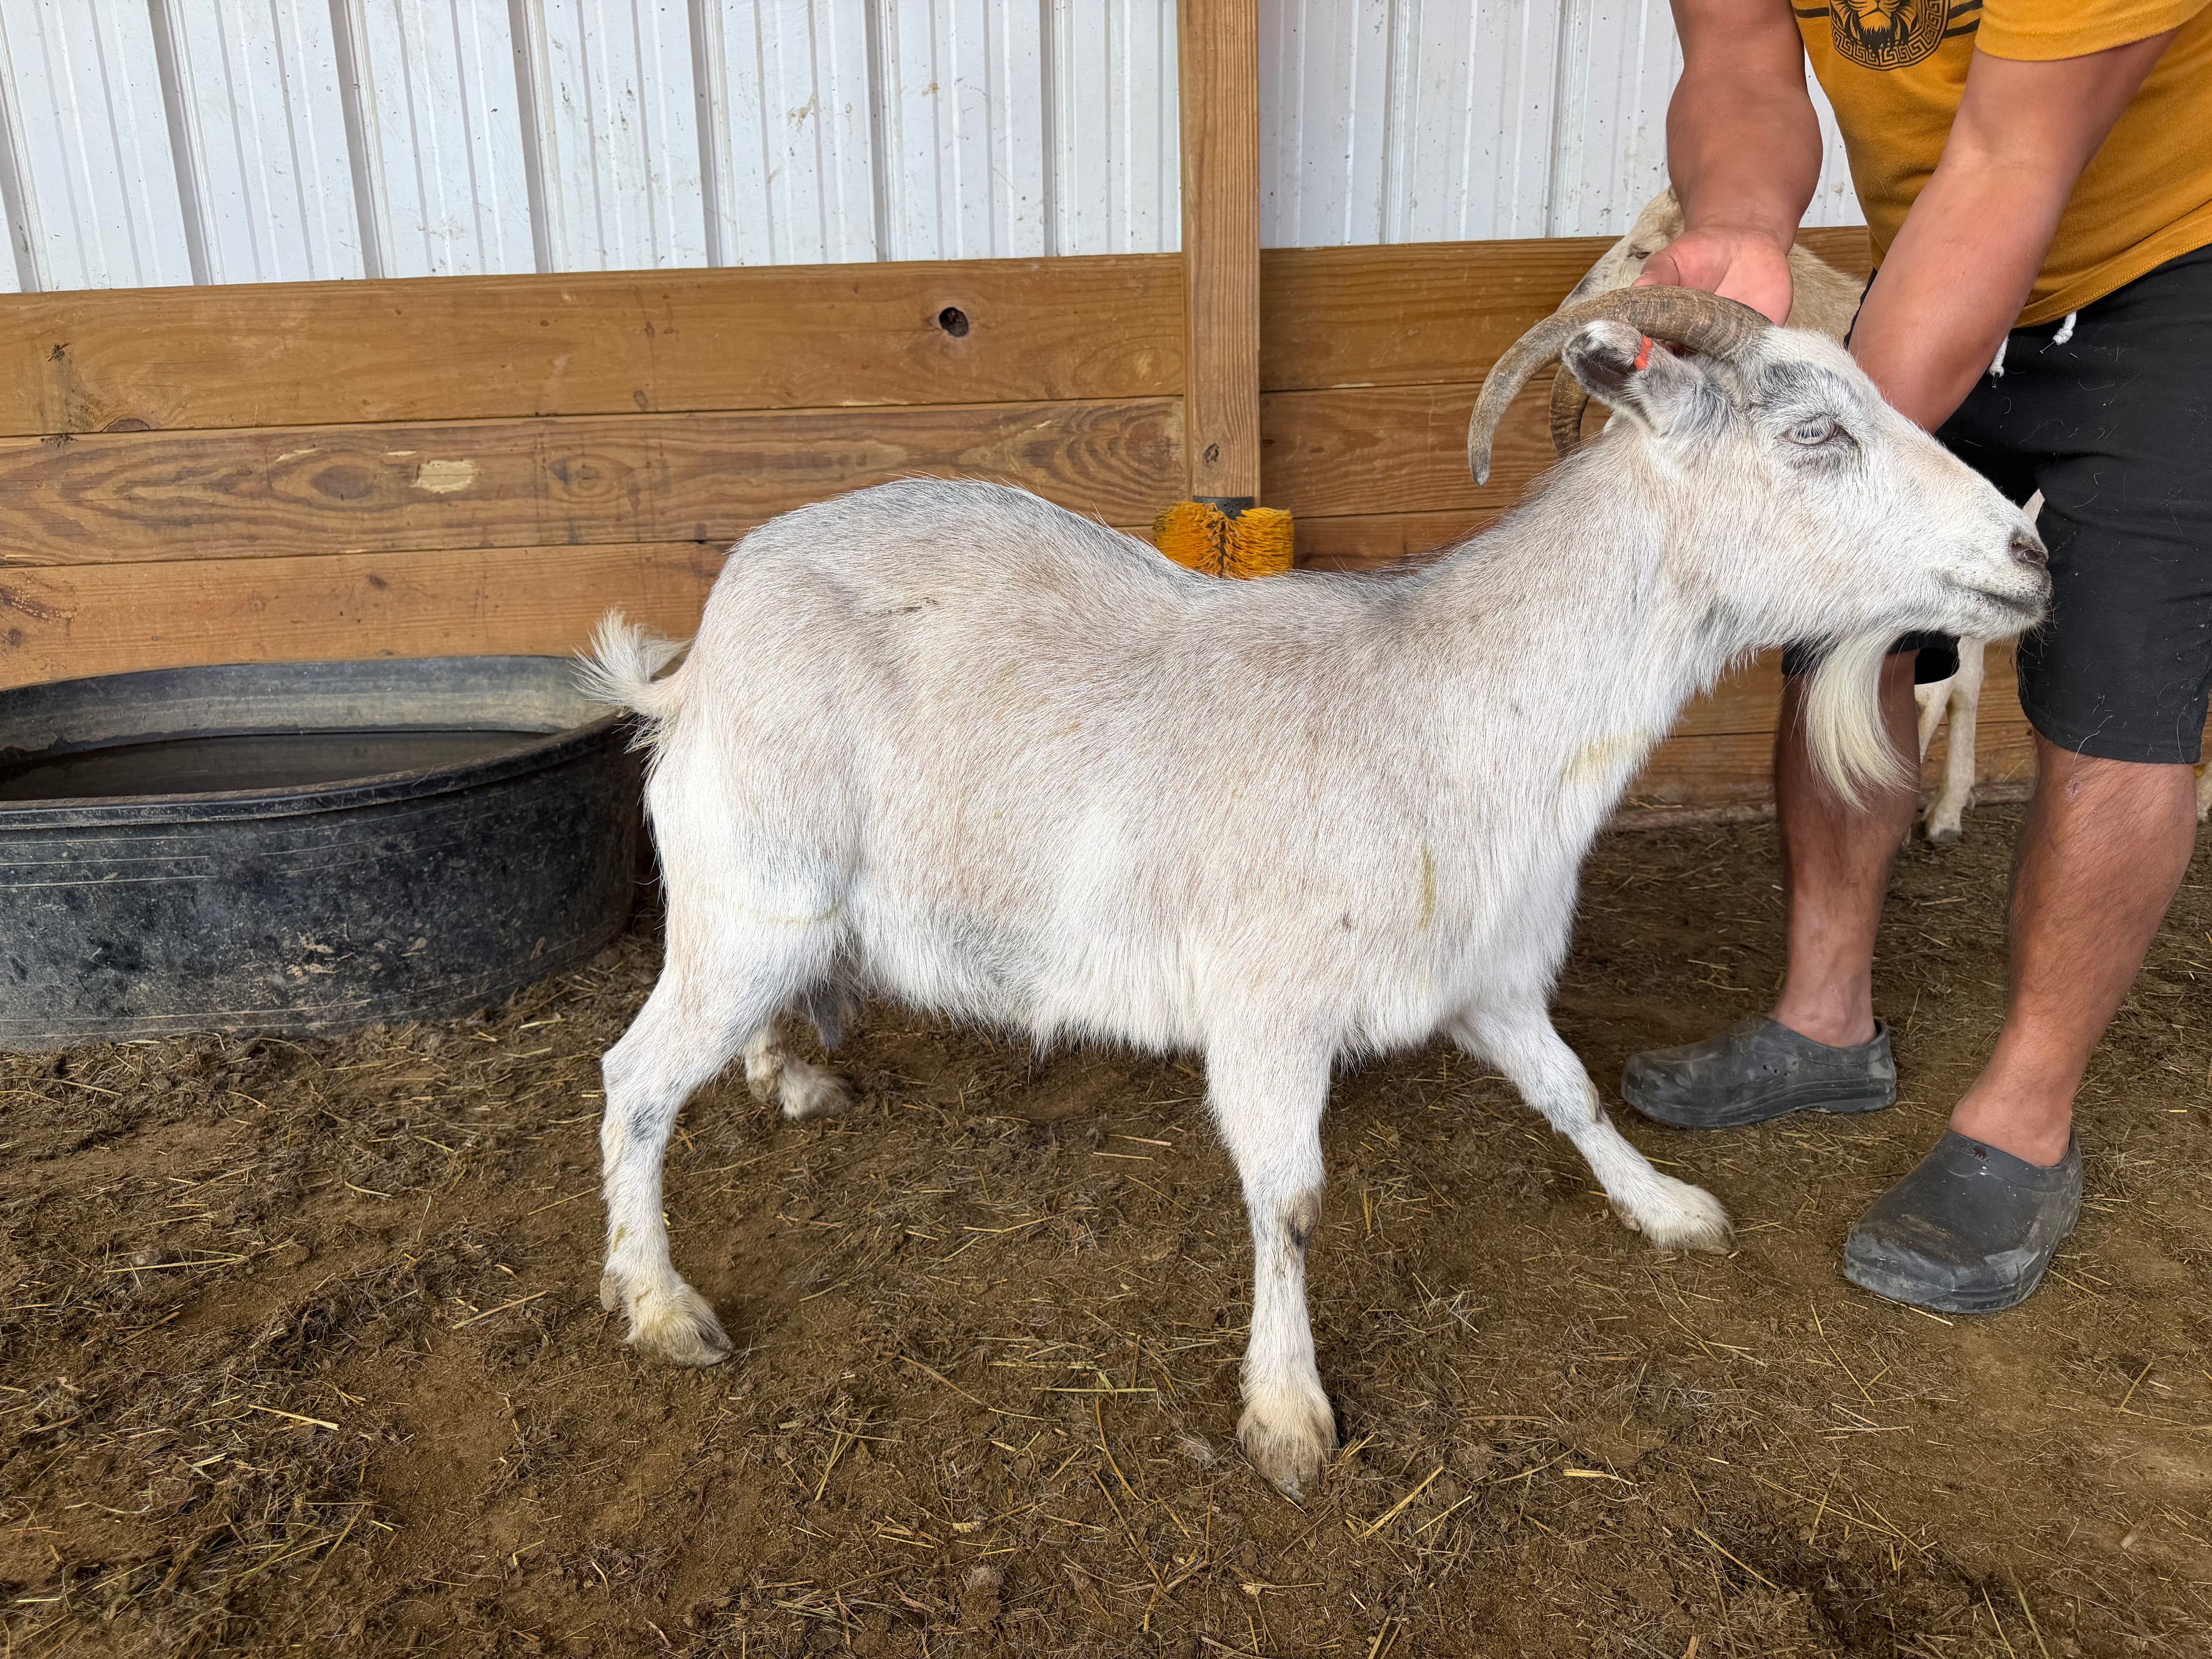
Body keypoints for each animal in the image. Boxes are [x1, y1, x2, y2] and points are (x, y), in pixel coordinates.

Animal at [581, 288, 2047, 1497]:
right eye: (1816, 433)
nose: (2030, 555)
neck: (1447, 710)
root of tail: (701, 653)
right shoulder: (1268, 1009)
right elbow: (1288, 1199)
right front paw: (1288, 1416)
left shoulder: (1487, 973)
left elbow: (1572, 1092)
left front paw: (1669, 1209)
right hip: (747, 889)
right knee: (636, 1078)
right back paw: (660, 1306)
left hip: (780, 911)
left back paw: (786, 1075)